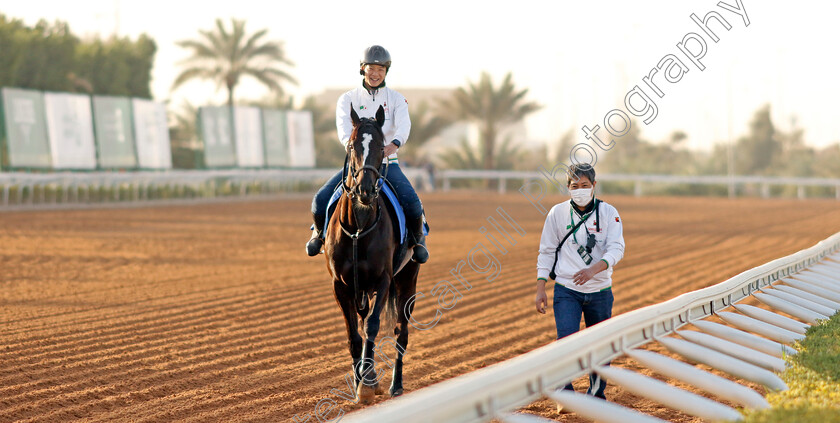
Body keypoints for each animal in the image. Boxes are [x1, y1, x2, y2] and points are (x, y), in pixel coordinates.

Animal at [326, 105, 424, 404]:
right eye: (353, 145)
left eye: (382, 146)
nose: (365, 190)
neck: (359, 228)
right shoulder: (341, 285)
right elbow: (354, 335)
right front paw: (360, 380)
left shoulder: (382, 281)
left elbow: (371, 326)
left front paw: (368, 383)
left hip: (407, 281)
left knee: (401, 332)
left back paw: (396, 385)